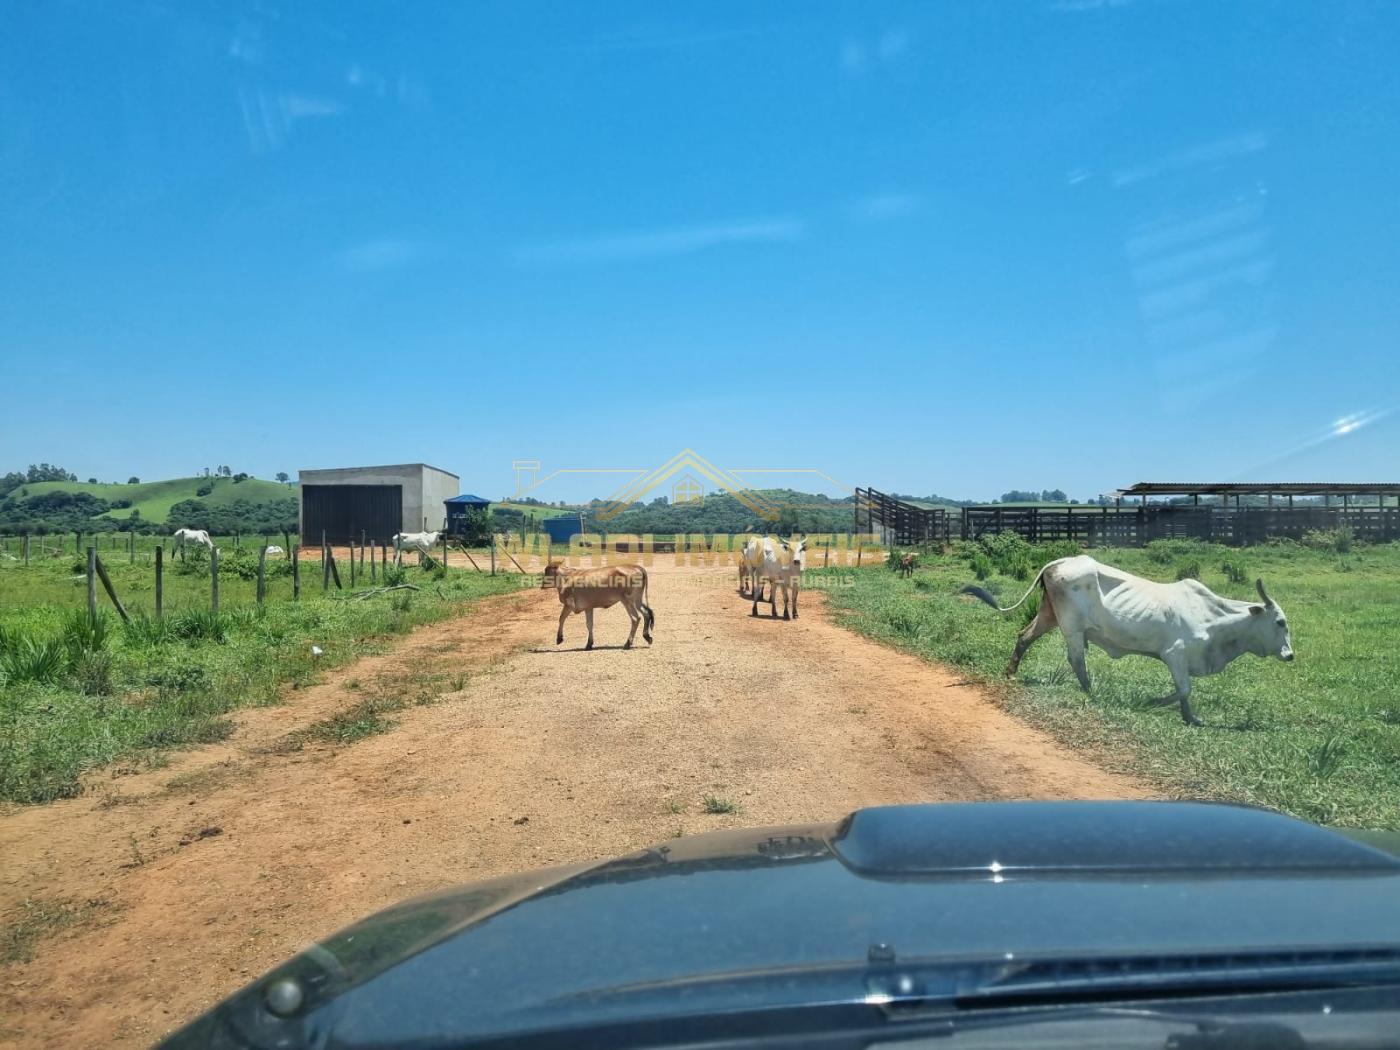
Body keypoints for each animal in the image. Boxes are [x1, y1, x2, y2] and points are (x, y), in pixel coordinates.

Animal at [963, 554, 1288, 728]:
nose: (1290, 655)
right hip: (1071, 626)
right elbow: (1184, 689)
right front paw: (1158, 704)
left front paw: (1184, 715)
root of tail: (1060, 561)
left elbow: (1183, 693)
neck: (1213, 618)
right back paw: (1091, 690)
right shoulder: (1175, 654)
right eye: (1280, 622)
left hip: (1049, 614)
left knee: (1024, 637)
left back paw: (1011, 673)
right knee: (1076, 658)